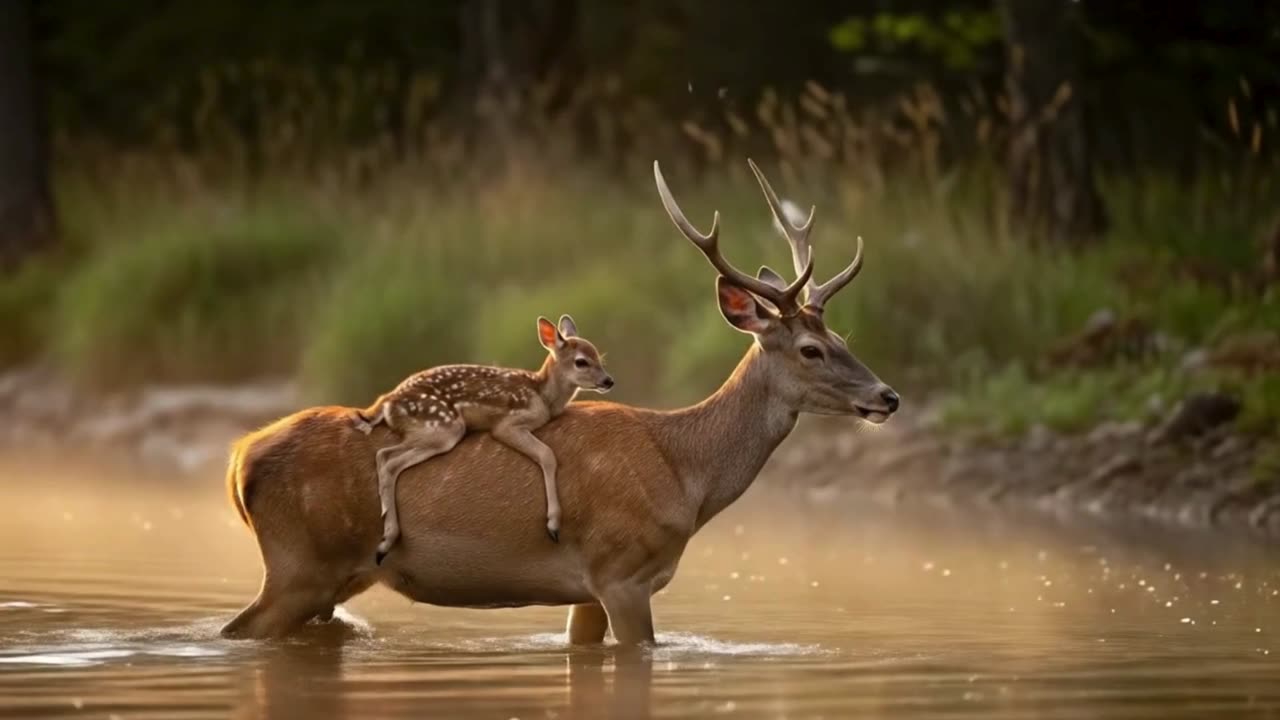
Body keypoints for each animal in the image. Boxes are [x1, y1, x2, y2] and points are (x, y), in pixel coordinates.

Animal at [350, 314, 614, 563]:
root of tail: (387, 401)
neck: (544, 398)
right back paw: (386, 542)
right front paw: (553, 524)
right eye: (581, 361)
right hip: (443, 427)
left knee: (384, 456)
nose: (609, 381)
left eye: (599, 357)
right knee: (388, 459)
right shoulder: (508, 423)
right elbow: (547, 455)